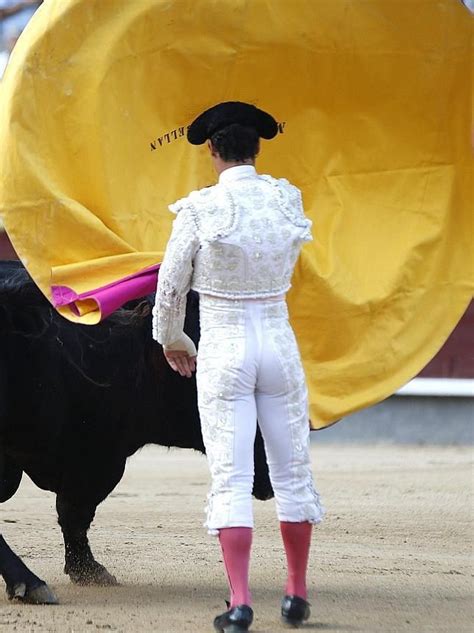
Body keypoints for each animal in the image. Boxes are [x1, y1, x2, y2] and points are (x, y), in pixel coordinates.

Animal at [0, 260, 272, 604]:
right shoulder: (99, 456)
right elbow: (74, 511)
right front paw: (85, 570)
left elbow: (73, 513)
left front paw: (87, 570)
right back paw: (29, 582)